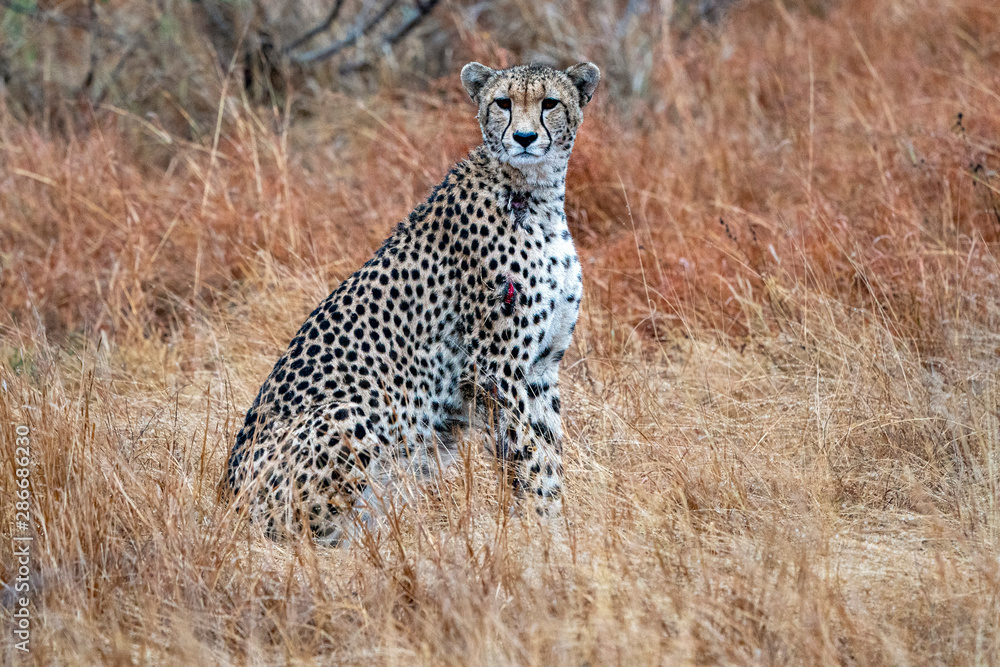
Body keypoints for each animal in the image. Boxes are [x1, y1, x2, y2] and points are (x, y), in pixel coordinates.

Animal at [225, 61, 600, 544]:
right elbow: (528, 456)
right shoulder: (494, 370)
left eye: (550, 103)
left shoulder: (539, 370)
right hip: (346, 415)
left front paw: (554, 527)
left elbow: (548, 453)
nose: (523, 137)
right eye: (503, 103)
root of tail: (227, 501)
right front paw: (538, 533)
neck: (536, 193)